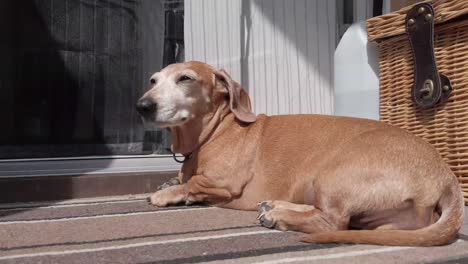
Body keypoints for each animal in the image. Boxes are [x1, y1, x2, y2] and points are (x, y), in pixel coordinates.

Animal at [136, 60, 464, 246]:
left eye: (185, 79)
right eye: (153, 80)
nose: (142, 106)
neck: (215, 130)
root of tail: (446, 175)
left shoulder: (224, 184)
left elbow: (192, 183)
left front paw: (167, 193)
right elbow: (180, 178)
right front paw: (170, 183)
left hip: (332, 174)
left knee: (333, 222)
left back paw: (278, 215)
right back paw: (276, 206)